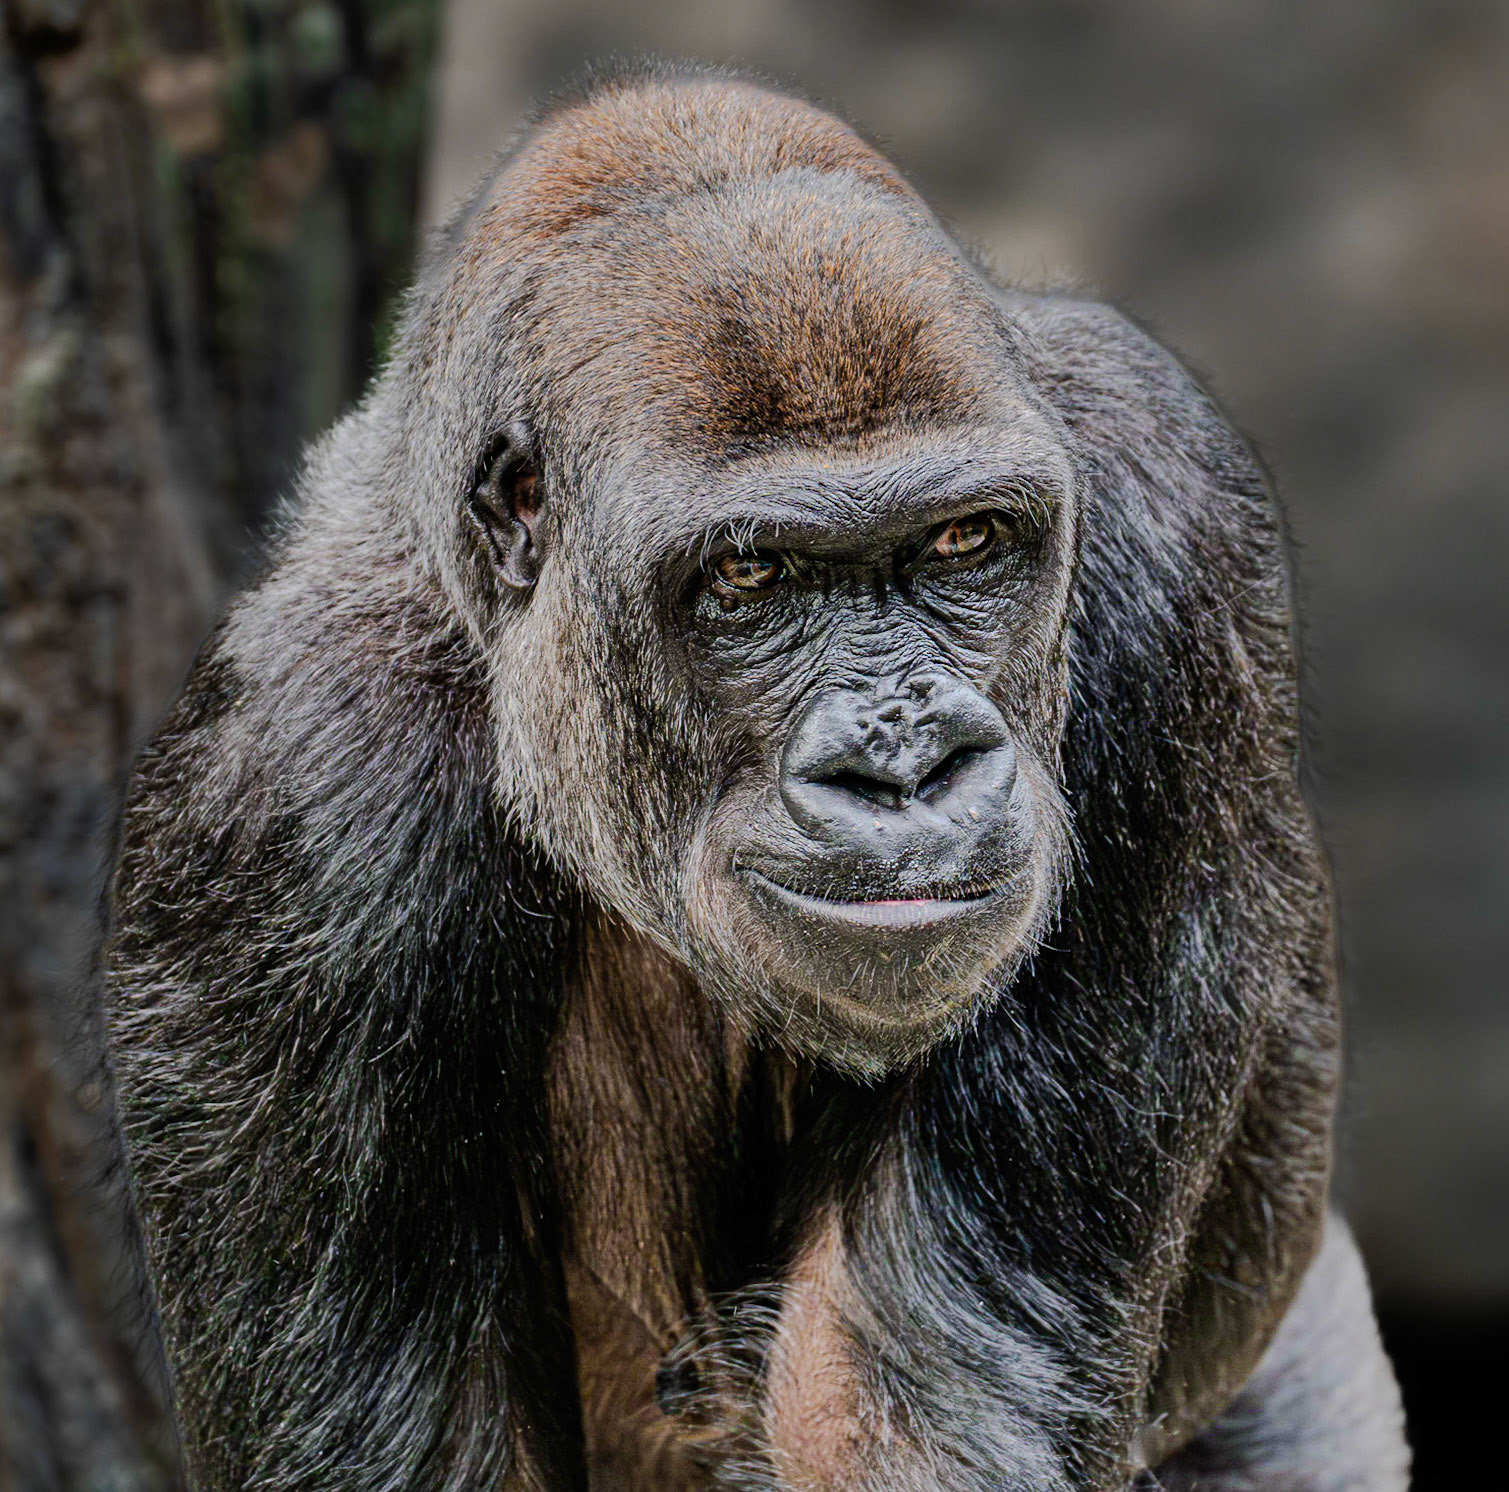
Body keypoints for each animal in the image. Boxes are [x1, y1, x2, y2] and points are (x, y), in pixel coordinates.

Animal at [104, 64, 1410, 1492]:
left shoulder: (1176, 546)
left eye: (966, 542)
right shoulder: (280, 807)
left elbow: (904, 1397)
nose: (903, 762)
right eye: (749, 576)